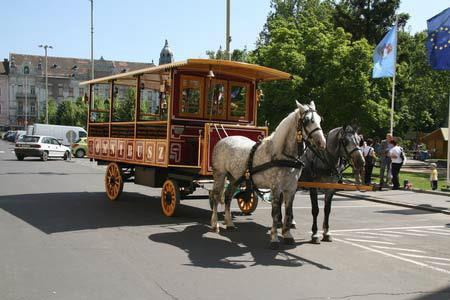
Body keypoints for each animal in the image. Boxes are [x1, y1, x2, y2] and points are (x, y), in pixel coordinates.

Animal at [211, 101, 326, 248]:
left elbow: (288, 212)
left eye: (319, 120)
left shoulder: (291, 188)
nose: (322, 143)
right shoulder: (276, 188)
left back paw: (230, 223)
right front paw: (274, 239)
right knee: (215, 197)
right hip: (219, 175)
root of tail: (223, 140)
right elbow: (276, 213)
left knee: (228, 196)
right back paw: (215, 225)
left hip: (235, 178)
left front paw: (288, 235)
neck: (281, 154)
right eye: (307, 121)